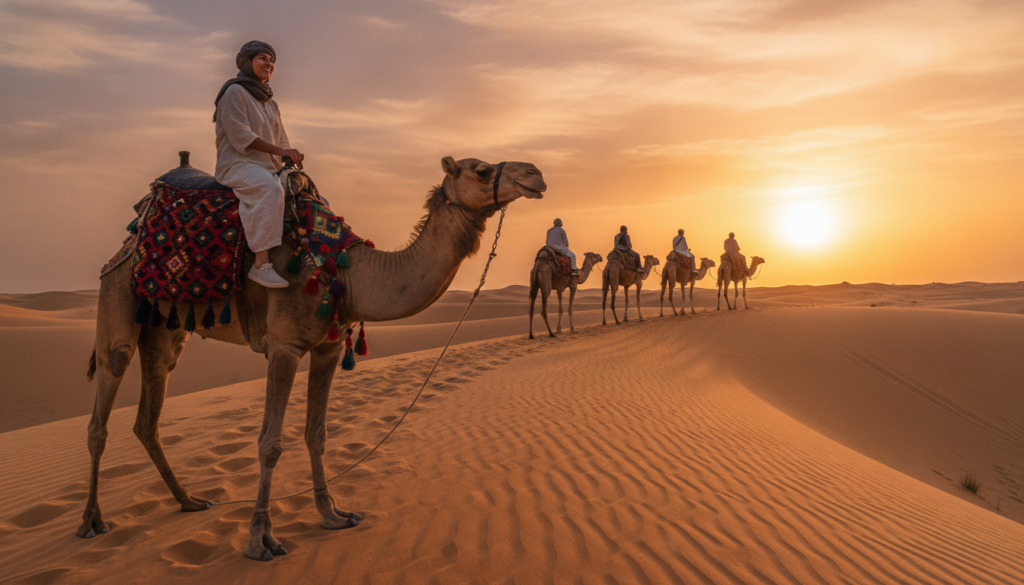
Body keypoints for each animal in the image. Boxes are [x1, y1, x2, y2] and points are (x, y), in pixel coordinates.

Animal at [79, 156, 545, 561]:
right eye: (481, 169)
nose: (536, 174)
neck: (347, 273)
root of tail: (132, 234)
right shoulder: (284, 345)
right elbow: (269, 443)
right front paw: (260, 540)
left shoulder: (328, 347)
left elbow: (316, 434)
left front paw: (333, 514)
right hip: (117, 295)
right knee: (104, 400)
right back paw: (92, 520)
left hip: (165, 329)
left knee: (148, 415)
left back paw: (189, 499)